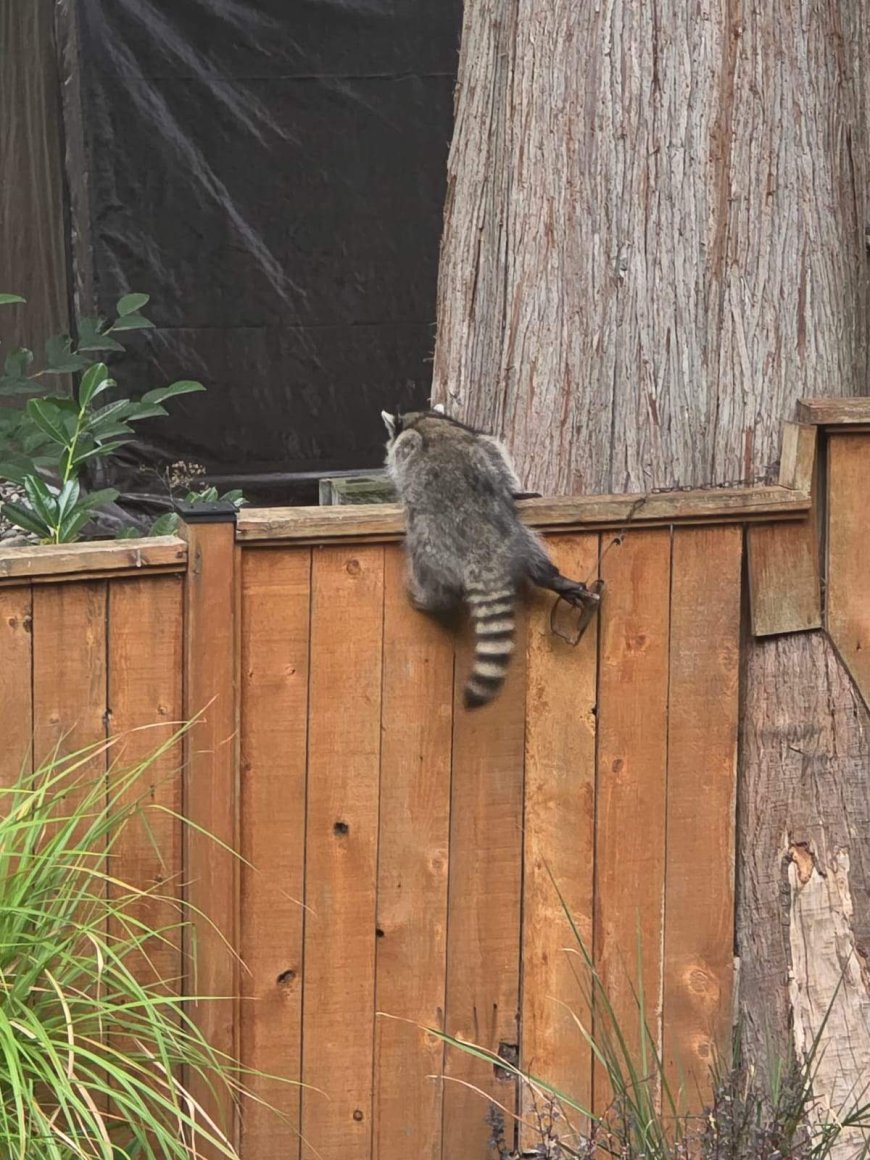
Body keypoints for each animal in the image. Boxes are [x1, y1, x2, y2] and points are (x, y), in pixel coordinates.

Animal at [382, 409, 599, 709]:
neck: (425, 418)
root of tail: (480, 544)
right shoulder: (478, 442)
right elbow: (495, 455)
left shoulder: (409, 444)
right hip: (511, 534)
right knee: (531, 549)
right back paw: (549, 576)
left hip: (430, 544)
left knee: (433, 579)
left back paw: (429, 598)